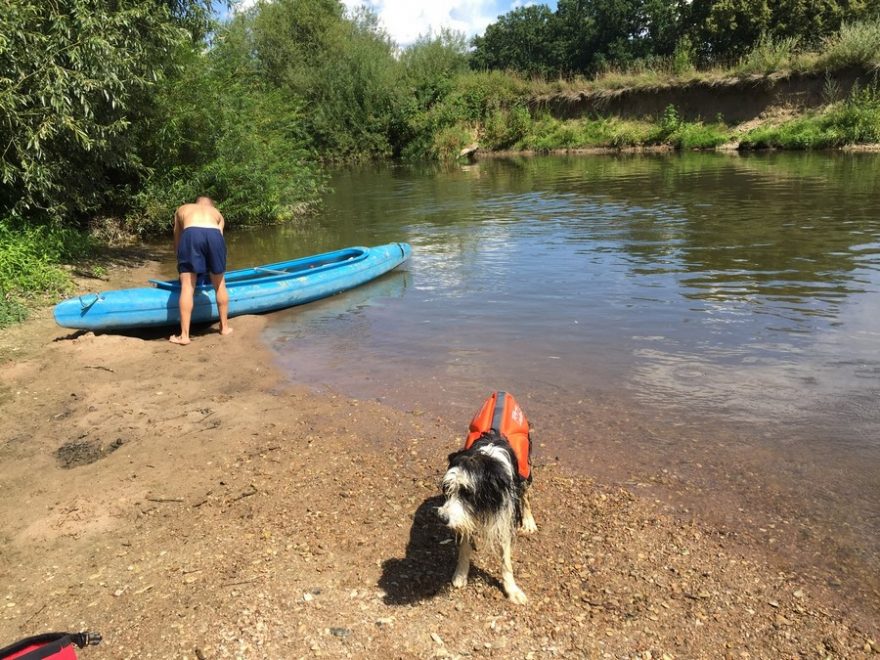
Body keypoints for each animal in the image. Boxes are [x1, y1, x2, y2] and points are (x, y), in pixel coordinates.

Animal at [436, 392, 532, 604]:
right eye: (448, 490)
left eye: (468, 493)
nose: (442, 518)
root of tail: (503, 393)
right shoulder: (465, 514)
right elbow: (464, 546)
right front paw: (461, 574)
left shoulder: (505, 510)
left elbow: (506, 558)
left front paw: (512, 590)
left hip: (526, 469)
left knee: (526, 494)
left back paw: (529, 521)